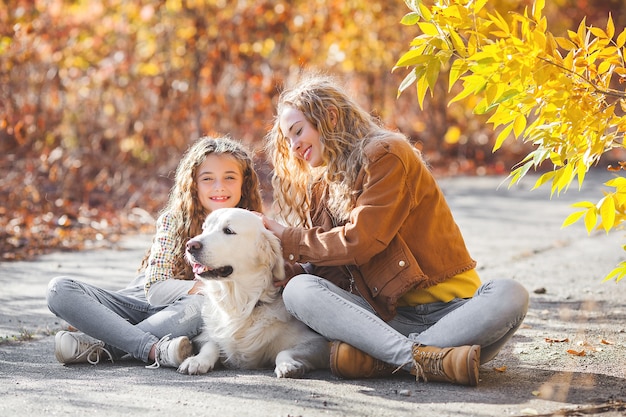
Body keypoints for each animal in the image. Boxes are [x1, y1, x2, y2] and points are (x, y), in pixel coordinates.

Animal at [177, 206, 330, 376]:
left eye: (228, 230)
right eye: (205, 229)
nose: (190, 245)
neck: (241, 303)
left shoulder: (318, 343)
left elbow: (283, 352)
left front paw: (287, 365)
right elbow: (211, 344)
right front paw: (196, 361)